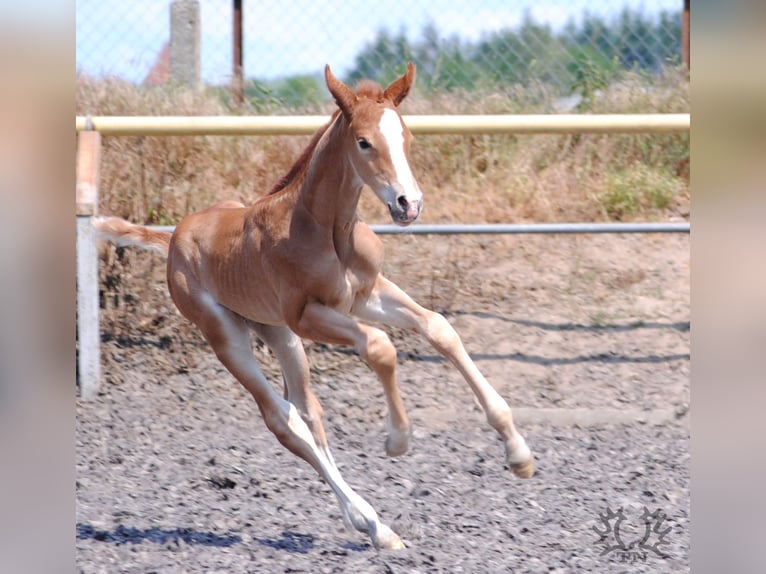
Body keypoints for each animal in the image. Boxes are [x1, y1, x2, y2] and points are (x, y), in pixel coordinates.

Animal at [93, 63, 534, 550]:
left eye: (407, 137)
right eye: (364, 142)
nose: (409, 205)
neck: (326, 229)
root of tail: (173, 237)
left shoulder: (366, 294)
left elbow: (439, 327)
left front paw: (518, 453)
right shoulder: (308, 315)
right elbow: (380, 346)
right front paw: (397, 439)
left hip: (277, 333)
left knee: (308, 412)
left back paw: (367, 523)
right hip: (226, 334)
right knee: (282, 419)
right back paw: (375, 524)